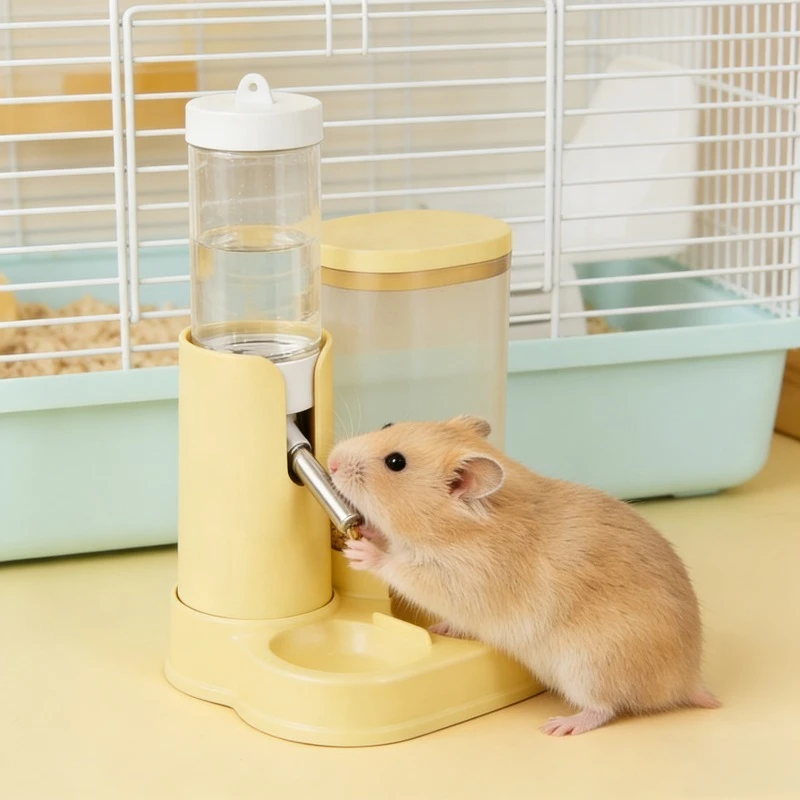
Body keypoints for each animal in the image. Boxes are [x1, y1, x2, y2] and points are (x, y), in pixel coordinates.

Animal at [327, 414, 720, 736]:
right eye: (388, 424)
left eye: (396, 463)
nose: (330, 460)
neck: (455, 526)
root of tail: (687, 683)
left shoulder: (458, 577)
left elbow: (400, 568)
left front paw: (361, 553)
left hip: (589, 668)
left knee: (604, 708)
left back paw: (560, 726)